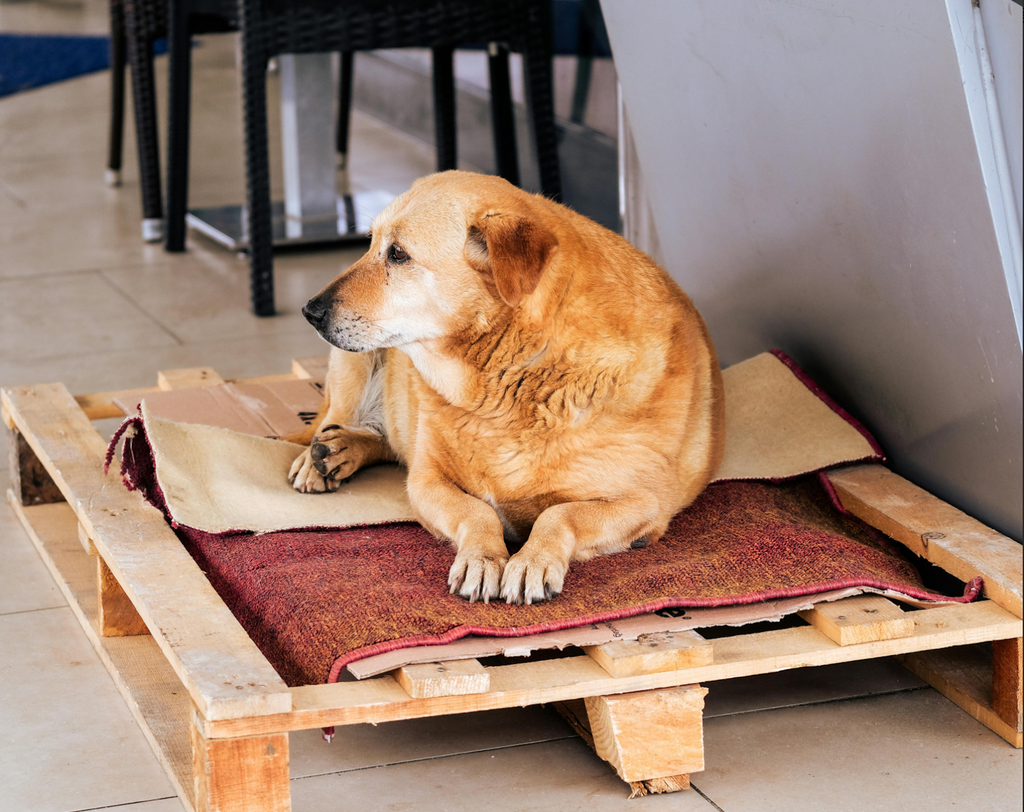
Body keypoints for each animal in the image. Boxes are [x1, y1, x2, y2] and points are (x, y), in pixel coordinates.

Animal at [288, 171, 724, 602]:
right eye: (370, 242)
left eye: (398, 254)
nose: (309, 311)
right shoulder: (425, 482)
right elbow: (477, 512)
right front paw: (483, 558)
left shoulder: (644, 502)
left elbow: (559, 514)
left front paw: (531, 560)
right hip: (353, 364)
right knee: (340, 423)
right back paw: (324, 454)